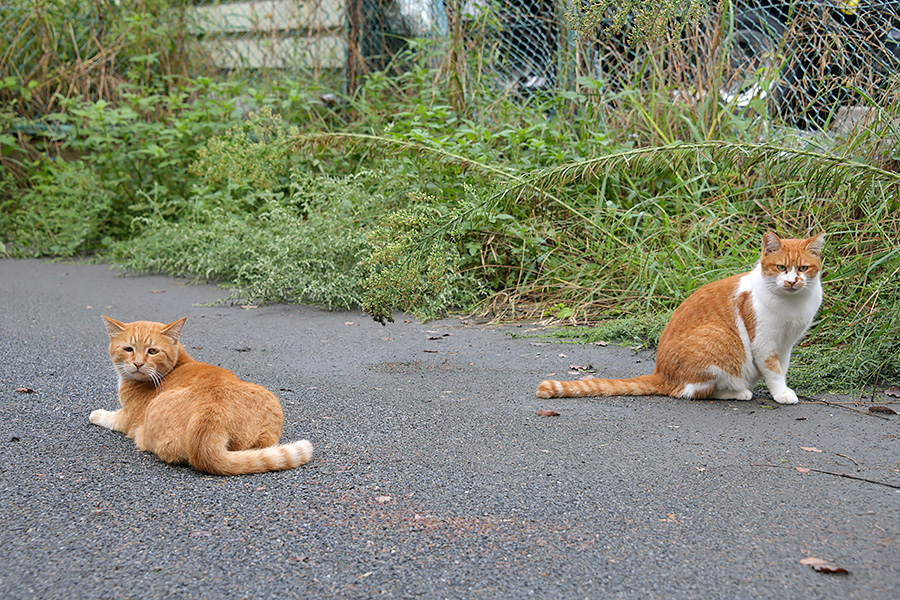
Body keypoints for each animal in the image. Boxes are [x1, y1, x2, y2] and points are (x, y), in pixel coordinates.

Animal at [89, 316, 312, 476]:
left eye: (152, 351)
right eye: (128, 349)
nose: (137, 364)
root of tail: (212, 412)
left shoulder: (126, 418)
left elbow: (107, 416)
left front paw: (96, 414)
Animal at [536, 232, 828, 406]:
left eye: (803, 268)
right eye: (781, 267)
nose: (792, 281)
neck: (791, 304)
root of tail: (660, 373)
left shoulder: (786, 343)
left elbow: (782, 368)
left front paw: (782, 388)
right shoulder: (764, 342)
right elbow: (773, 370)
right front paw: (782, 393)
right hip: (721, 338)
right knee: (693, 391)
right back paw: (738, 392)